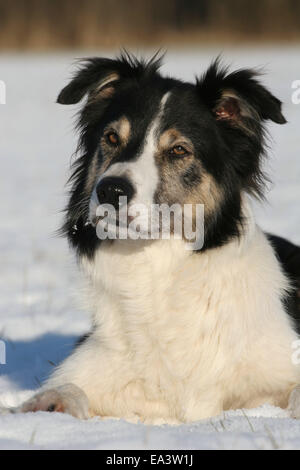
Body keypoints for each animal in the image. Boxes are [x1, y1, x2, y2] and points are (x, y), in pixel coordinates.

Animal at [3, 54, 300, 422]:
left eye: (178, 150)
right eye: (111, 138)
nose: (110, 190)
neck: (156, 264)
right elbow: (69, 387)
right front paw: (46, 404)